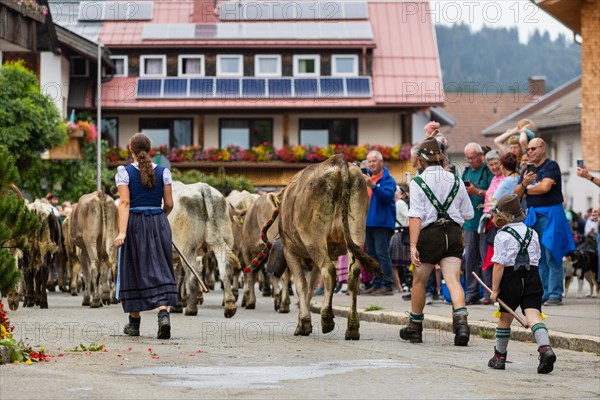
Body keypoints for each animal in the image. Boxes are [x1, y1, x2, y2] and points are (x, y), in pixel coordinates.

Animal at [268, 155, 380, 340]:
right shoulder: (312, 262)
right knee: (353, 273)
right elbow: (310, 288)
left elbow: (301, 286)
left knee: (328, 270)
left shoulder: (290, 251)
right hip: (356, 229)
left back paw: (327, 319)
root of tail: (337, 161)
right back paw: (352, 328)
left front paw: (303, 324)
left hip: (314, 239)